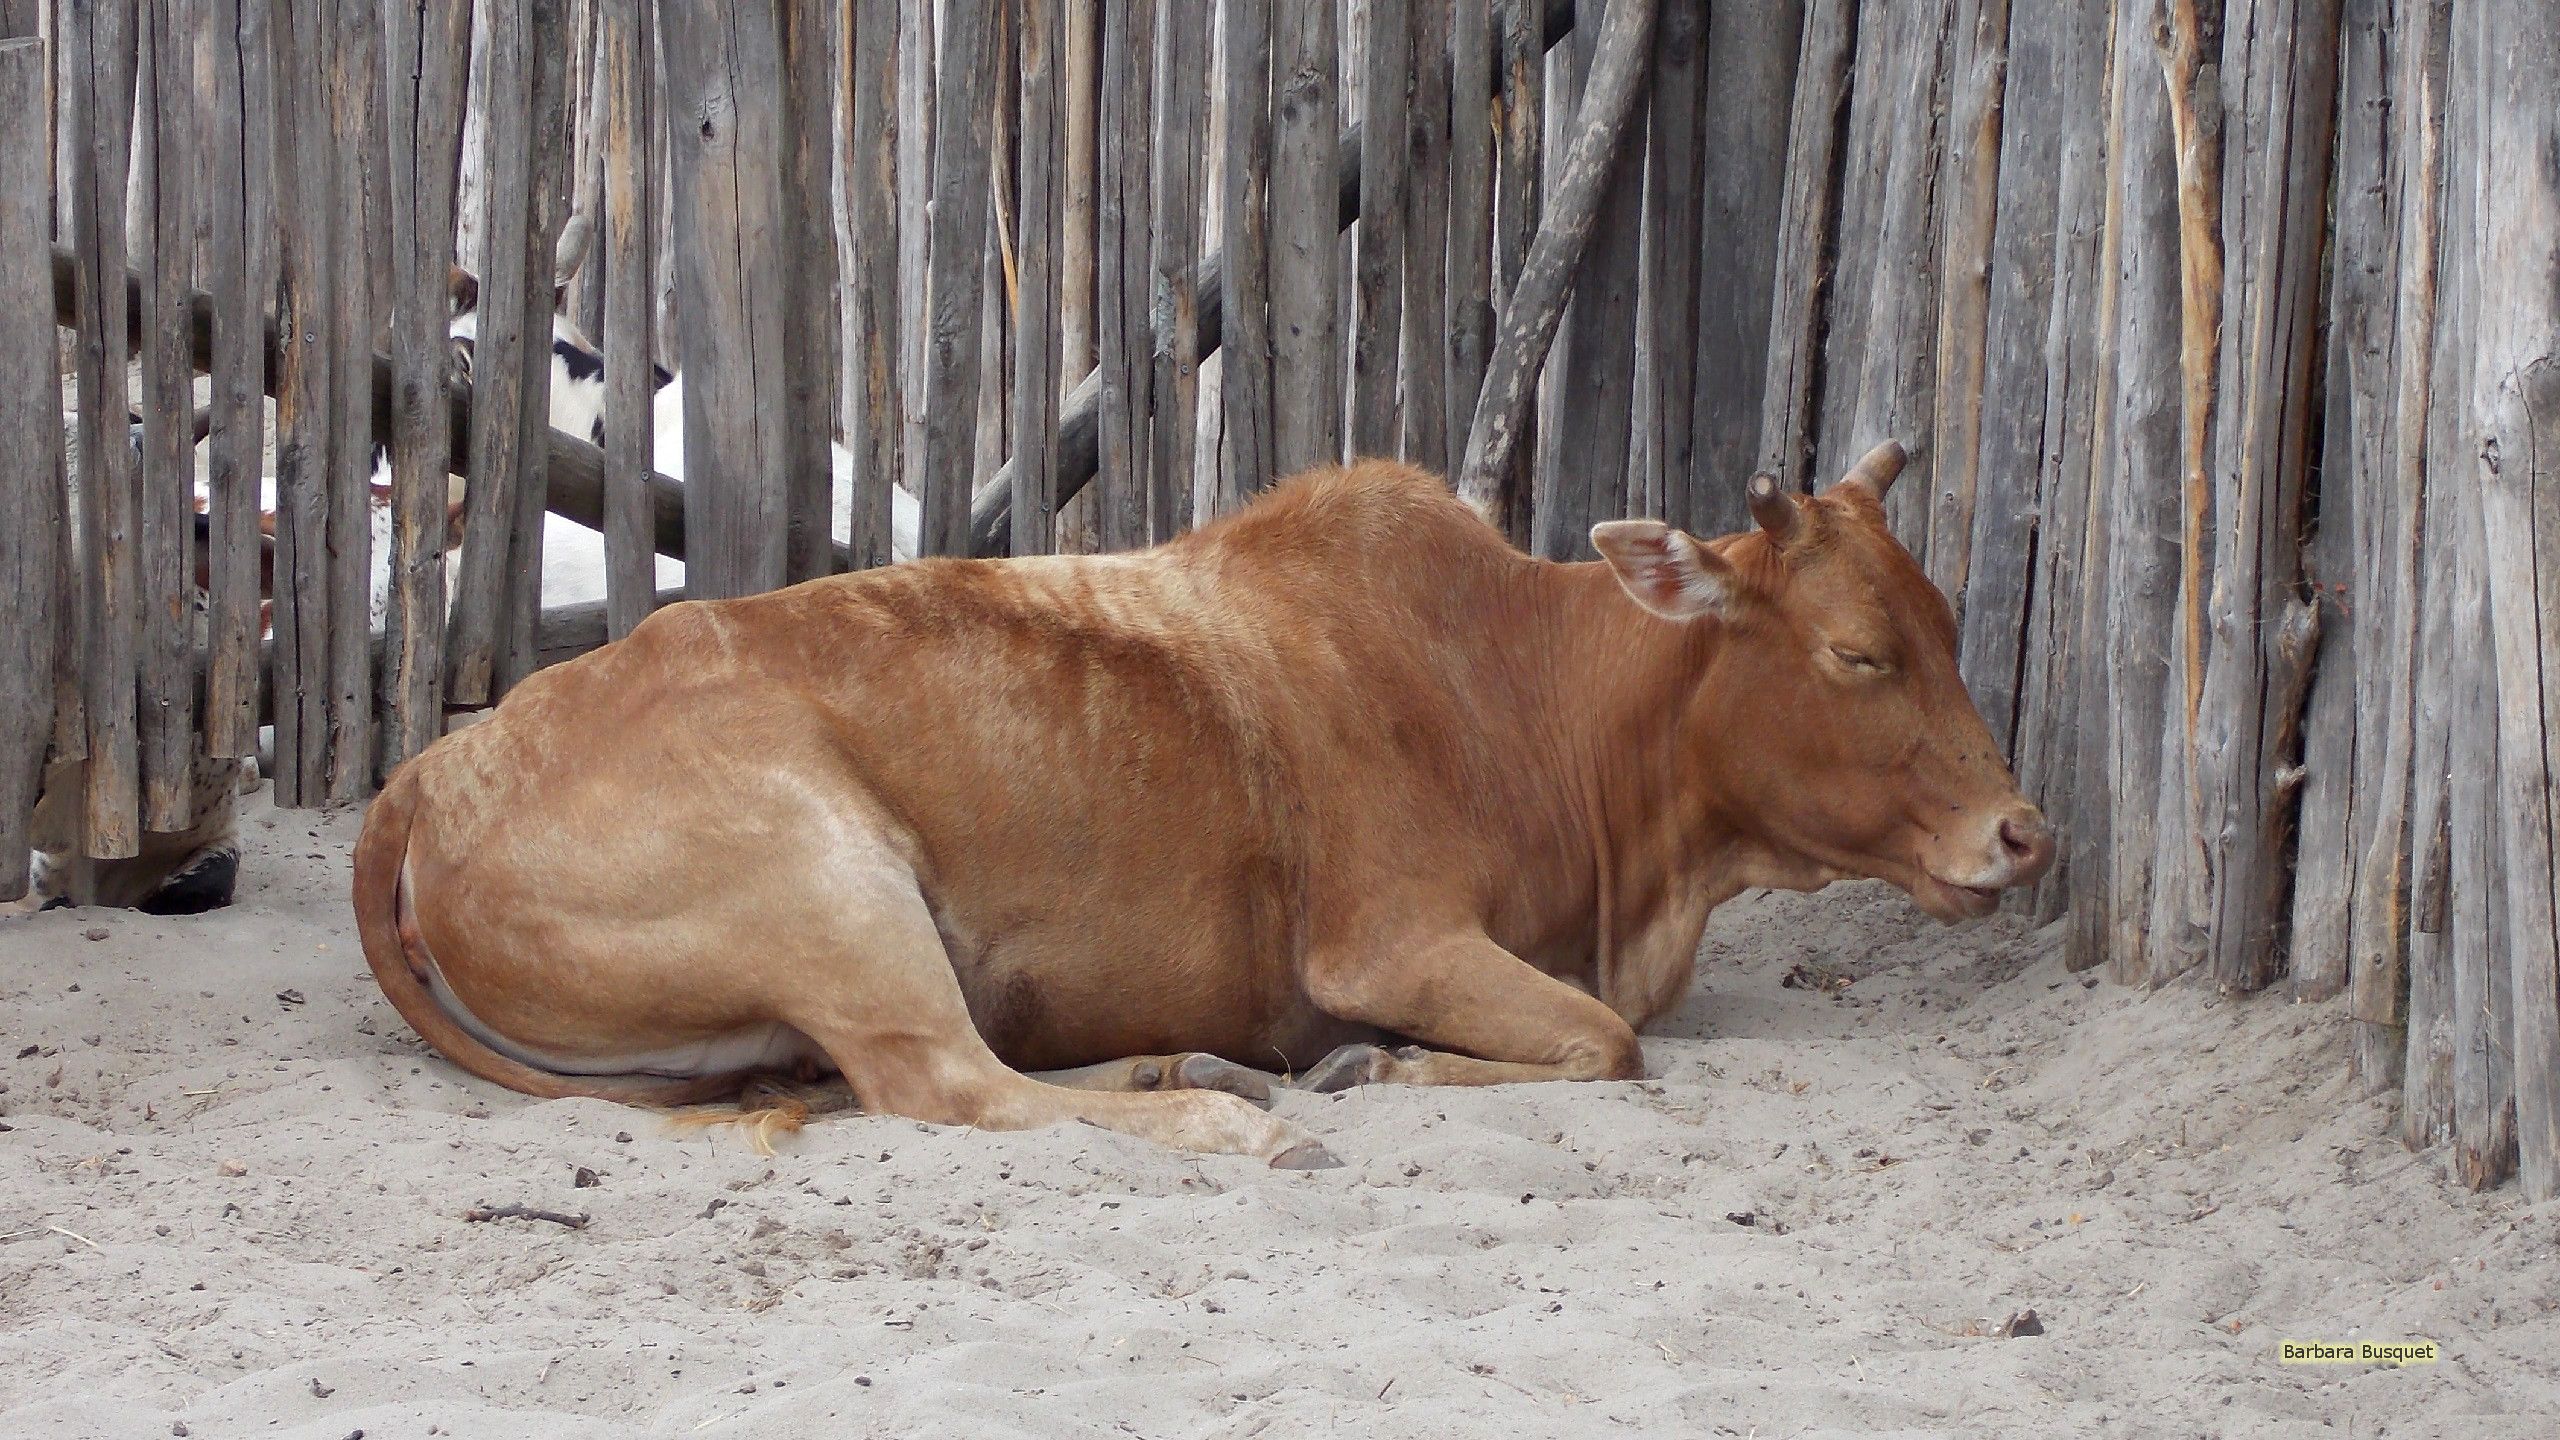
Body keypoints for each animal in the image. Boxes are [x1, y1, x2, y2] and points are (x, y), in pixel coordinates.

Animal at [350, 441, 2054, 1167]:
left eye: (1945, 622)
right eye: (1856, 651)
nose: (2023, 833)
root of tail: (434, 766)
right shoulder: (1387, 944)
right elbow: (1605, 1045)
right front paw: (1378, 1072)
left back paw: (1187, 1066)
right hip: (831, 882)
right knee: (950, 1086)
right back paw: (1227, 1118)